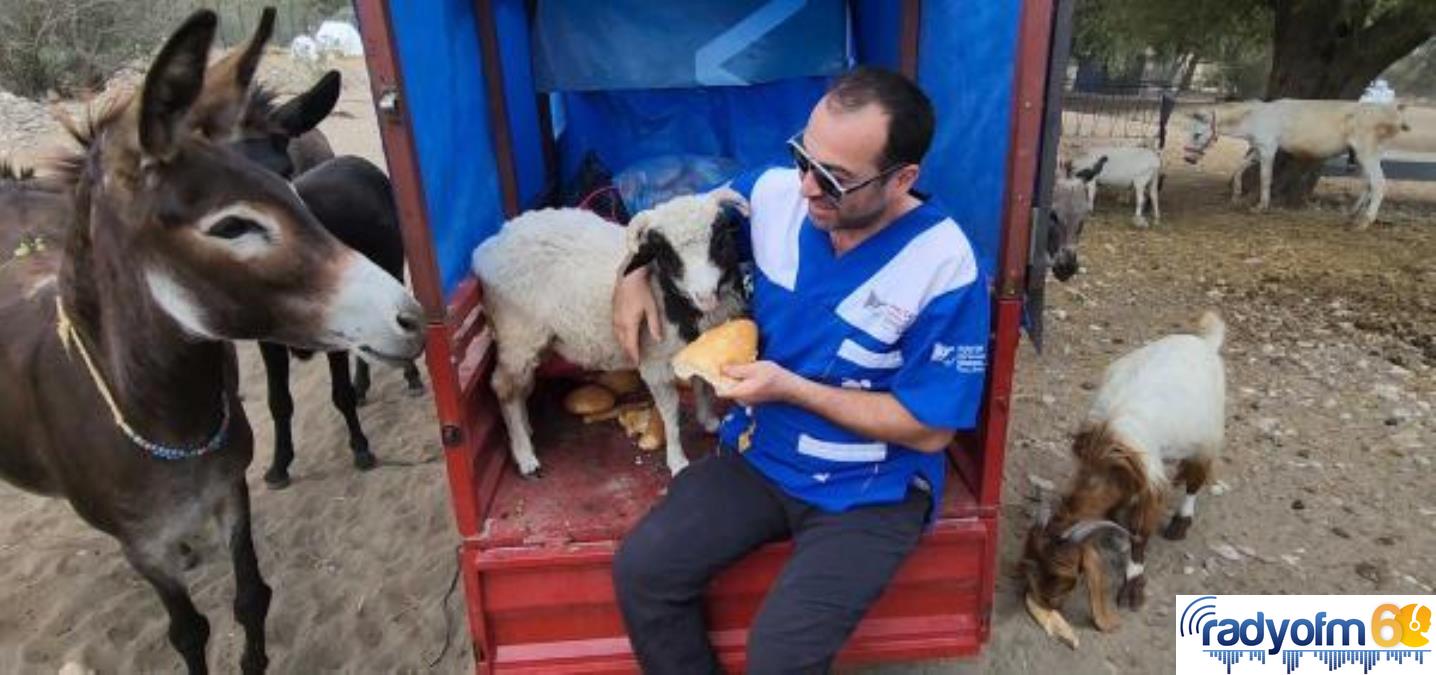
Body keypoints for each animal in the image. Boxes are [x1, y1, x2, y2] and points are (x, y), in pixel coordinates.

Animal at [473, 186, 752, 476]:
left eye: (719, 239)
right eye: (666, 253)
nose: (705, 295)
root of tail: (490, 245)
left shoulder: (697, 348)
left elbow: (703, 386)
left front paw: (709, 421)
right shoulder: (655, 363)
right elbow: (671, 414)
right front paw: (677, 461)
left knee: (522, 387)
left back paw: (526, 430)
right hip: (517, 333)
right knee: (504, 388)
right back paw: (525, 455)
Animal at [1183, 99, 1407, 228]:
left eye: (1197, 134)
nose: (1188, 159)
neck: (1255, 116)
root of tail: (1391, 114)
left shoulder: (1268, 148)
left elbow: (1265, 177)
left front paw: (1261, 207)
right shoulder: (1258, 147)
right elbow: (1240, 167)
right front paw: (1236, 195)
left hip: (1367, 154)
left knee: (1379, 183)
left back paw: (1365, 221)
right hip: (1362, 157)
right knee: (1369, 183)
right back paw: (1352, 214)